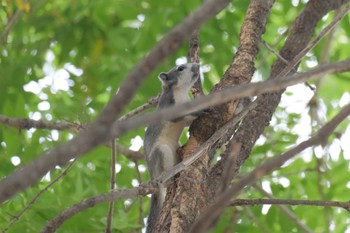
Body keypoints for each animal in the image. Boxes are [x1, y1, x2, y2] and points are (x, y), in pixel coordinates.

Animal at [144, 62, 201, 232]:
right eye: (180, 68)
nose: (197, 64)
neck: (181, 93)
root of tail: (153, 176)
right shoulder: (170, 106)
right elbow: (179, 117)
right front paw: (204, 109)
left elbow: (188, 122)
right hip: (161, 152)